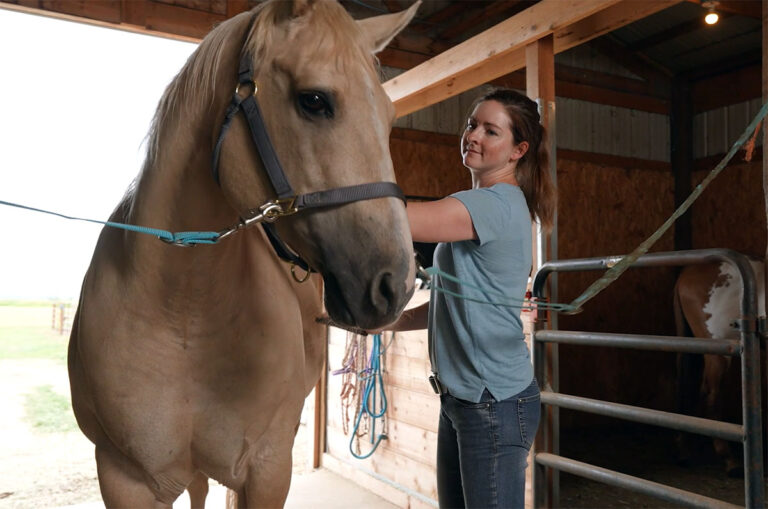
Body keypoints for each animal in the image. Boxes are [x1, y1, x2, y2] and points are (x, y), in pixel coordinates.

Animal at [67, 1, 419, 506]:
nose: (395, 284)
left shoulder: (268, 470)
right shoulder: (123, 479)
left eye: (390, 117)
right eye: (314, 100)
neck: (185, 314)